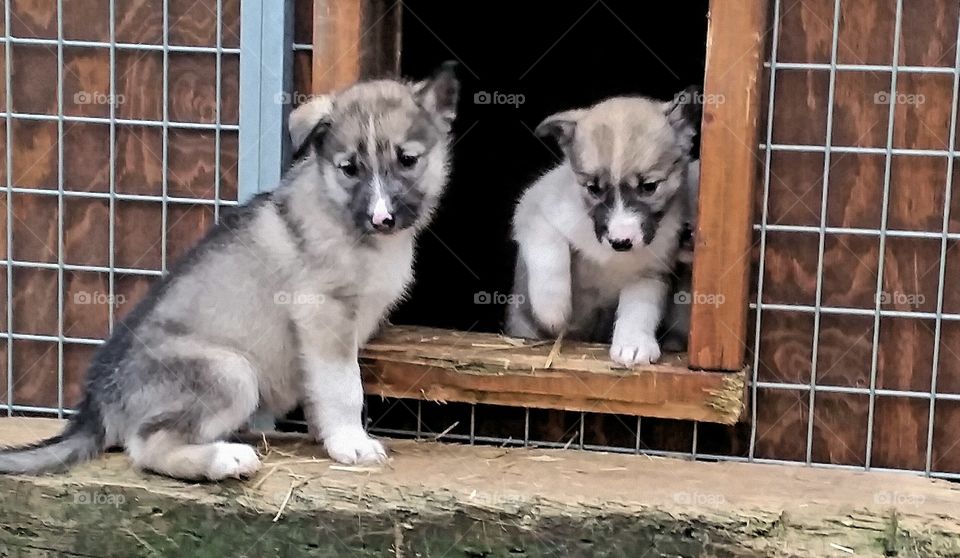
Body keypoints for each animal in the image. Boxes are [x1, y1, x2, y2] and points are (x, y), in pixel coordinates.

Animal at [0, 61, 462, 482]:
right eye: (349, 168)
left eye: (407, 160)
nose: (382, 218)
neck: (344, 216)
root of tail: (99, 403)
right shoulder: (323, 313)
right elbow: (344, 385)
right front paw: (352, 441)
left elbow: (321, 388)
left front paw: (329, 437)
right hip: (231, 371)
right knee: (147, 446)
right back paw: (226, 459)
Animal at [506, 87, 700, 368]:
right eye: (594, 189)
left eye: (649, 187)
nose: (621, 242)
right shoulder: (534, 209)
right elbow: (550, 257)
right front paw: (553, 310)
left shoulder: (649, 274)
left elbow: (638, 310)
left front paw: (633, 344)